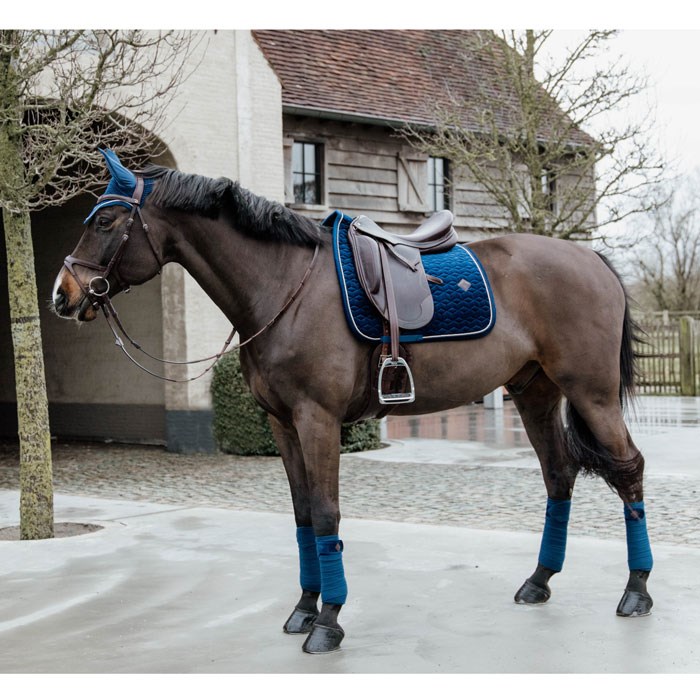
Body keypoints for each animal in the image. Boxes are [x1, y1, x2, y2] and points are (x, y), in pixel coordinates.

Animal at [52, 149, 652, 656]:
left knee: (629, 471)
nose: (63, 295)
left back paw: (637, 590)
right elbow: (301, 515)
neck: (283, 287)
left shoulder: (317, 419)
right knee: (559, 475)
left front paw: (328, 621)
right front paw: (303, 608)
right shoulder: (282, 424)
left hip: (592, 394)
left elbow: (326, 513)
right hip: (536, 394)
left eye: (105, 222)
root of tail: (592, 259)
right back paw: (539, 580)